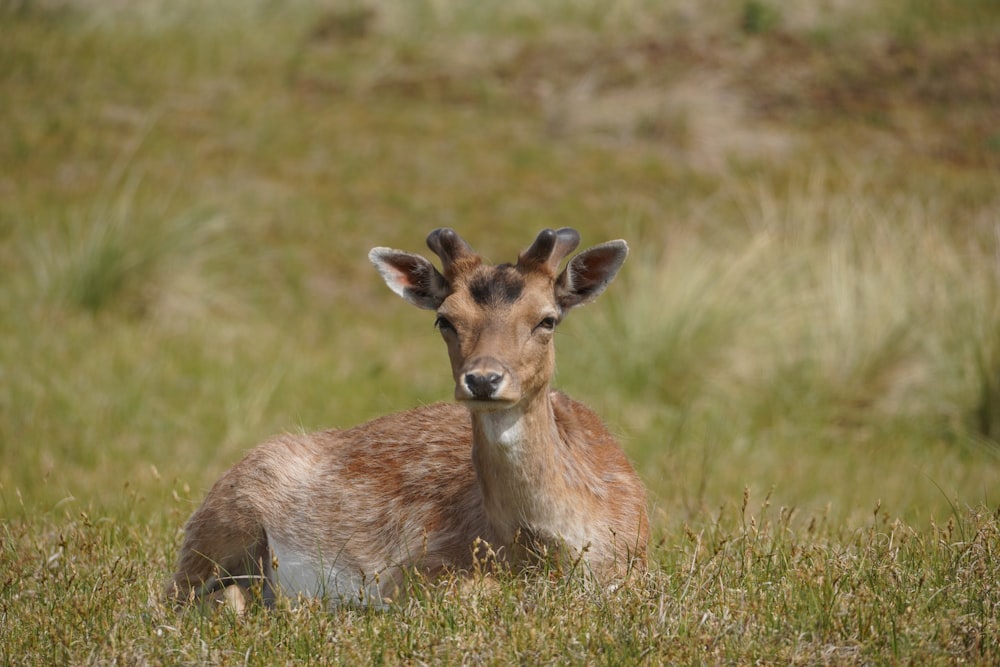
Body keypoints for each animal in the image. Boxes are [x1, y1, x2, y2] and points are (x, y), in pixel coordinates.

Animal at [166, 230, 648, 612]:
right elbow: (469, 591)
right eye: (445, 319)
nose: (483, 379)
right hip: (224, 521)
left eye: (547, 319)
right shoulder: (418, 568)